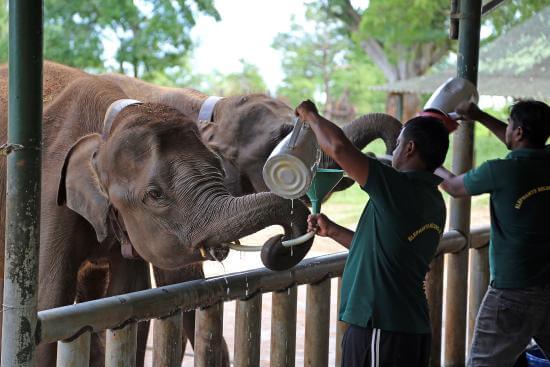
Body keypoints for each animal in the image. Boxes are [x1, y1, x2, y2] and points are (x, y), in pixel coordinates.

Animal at [0, 61, 314, 366]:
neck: (105, 131)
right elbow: (51, 301)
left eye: (219, 168)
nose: (280, 242)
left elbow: (131, 299)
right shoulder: (50, 193)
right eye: (155, 195)